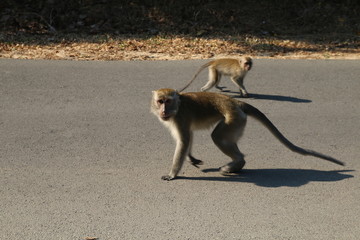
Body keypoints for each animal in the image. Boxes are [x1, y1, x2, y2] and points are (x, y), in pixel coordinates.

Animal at [151, 88, 344, 180]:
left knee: (218, 137)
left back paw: (237, 163)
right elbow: (188, 137)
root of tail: (237, 102)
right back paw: (237, 165)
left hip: (234, 118)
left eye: (168, 101)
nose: (163, 110)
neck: (178, 106)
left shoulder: (180, 117)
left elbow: (183, 141)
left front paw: (173, 174)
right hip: (237, 121)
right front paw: (192, 158)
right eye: (160, 101)